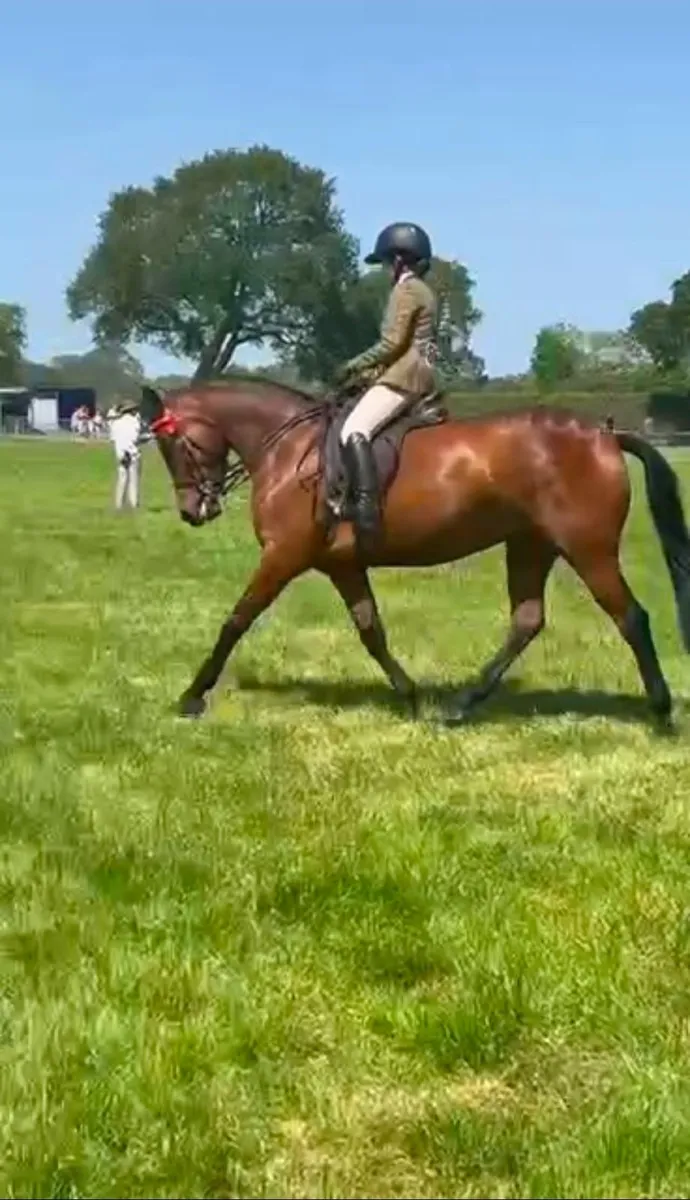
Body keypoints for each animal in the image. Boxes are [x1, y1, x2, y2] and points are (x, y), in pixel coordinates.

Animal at [139, 378, 690, 729]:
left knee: (630, 617)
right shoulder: (342, 565)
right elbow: (371, 630)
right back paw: (460, 707)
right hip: (529, 546)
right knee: (528, 620)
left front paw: (192, 696)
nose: (193, 510)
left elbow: (237, 619)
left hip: (587, 549)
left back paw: (661, 712)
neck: (290, 448)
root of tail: (604, 434)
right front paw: (409, 695)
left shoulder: (284, 556)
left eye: (172, 446)